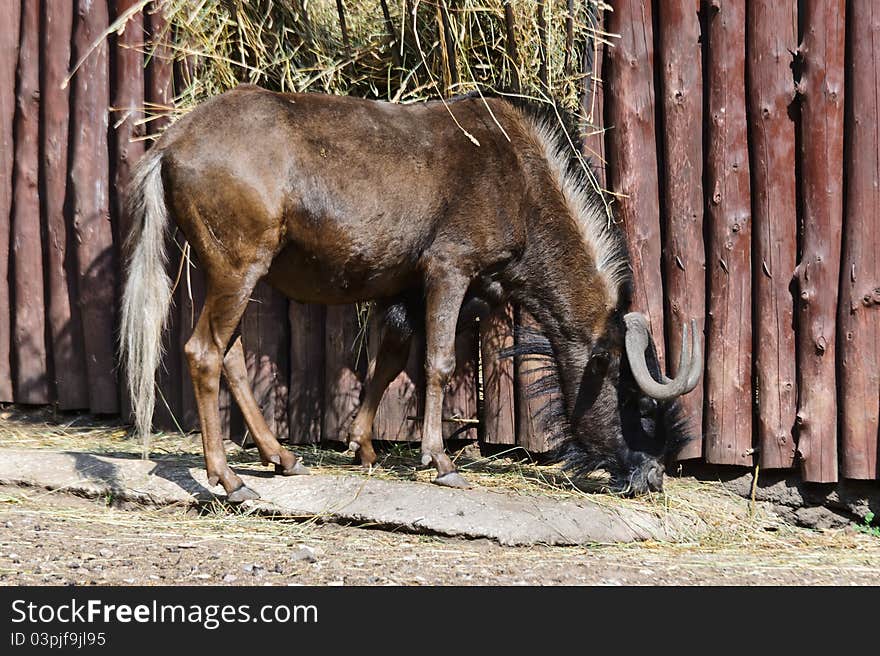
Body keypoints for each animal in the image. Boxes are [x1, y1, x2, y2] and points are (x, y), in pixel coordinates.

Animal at [122, 84, 700, 500]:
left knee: (232, 354)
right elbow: (438, 363)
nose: (653, 476)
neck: (522, 183)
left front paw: (363, 446)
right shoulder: (449, 268)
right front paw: (441, 461)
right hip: (238, 265)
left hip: (234, 271)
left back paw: (281, 457)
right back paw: (228, 478)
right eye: (638, 403)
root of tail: (170, 143)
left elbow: (393, 359)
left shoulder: (417, 290)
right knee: (203, 352)